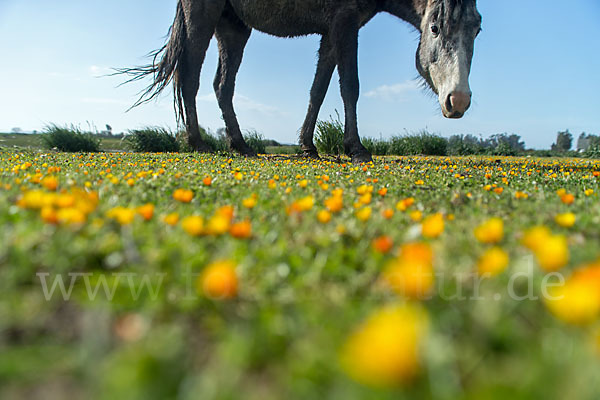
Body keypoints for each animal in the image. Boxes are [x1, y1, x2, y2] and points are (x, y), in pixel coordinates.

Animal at [119, 0, 480, 162]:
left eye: (477, 29)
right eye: (435, 28)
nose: (459, 100)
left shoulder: (332, 33)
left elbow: (318, 90)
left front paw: (308, 145)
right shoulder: (345, 24)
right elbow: (350, 87)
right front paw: (356, 148)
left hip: (233, 26)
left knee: (222, 85)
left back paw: (241, 145)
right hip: (203, 15)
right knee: (190, 78)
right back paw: (199, 142)